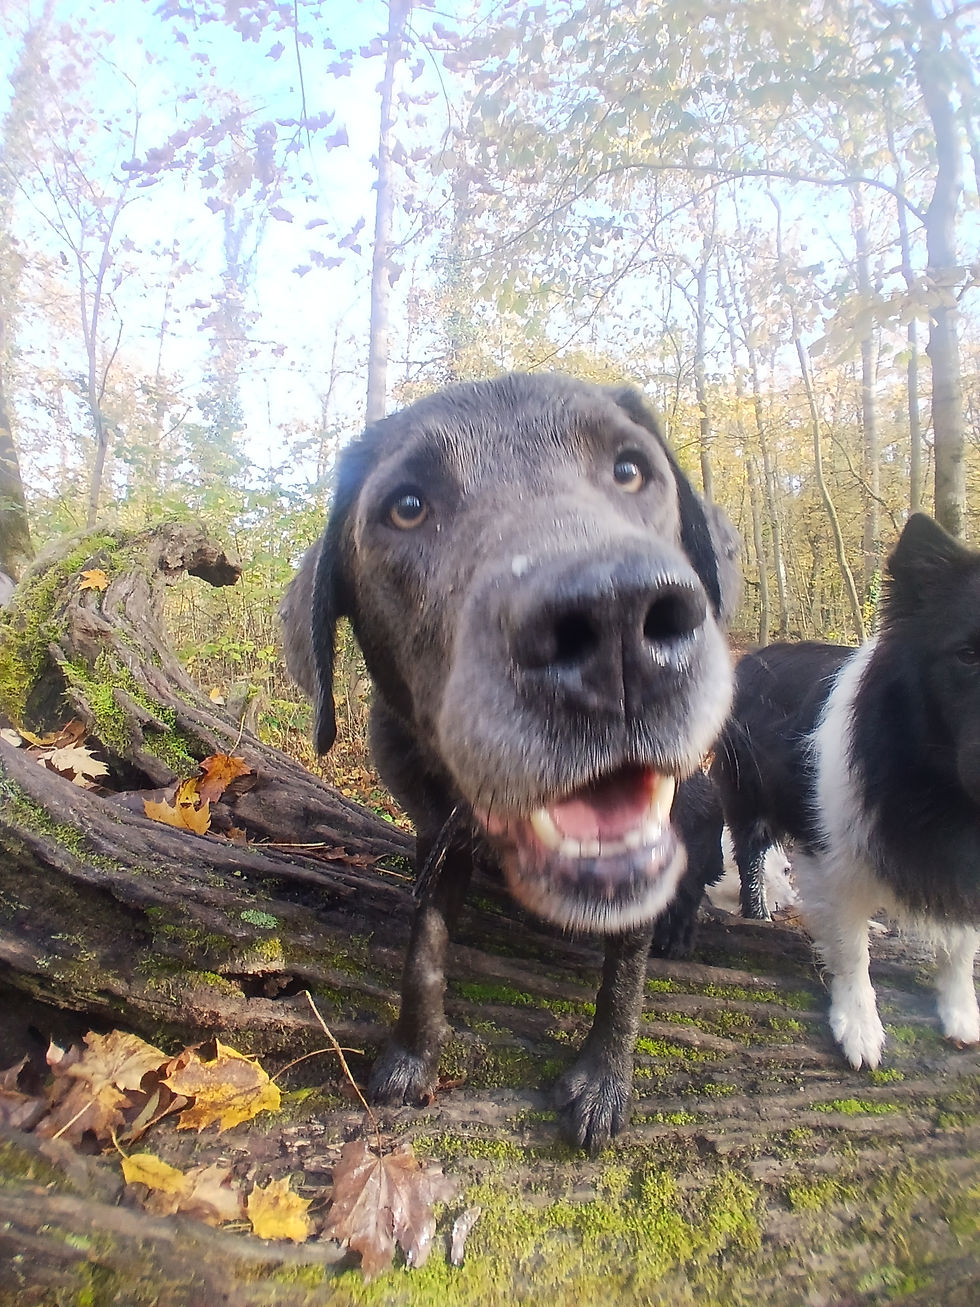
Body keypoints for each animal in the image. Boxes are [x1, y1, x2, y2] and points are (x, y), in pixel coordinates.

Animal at [283, 372, 740, 1152]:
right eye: (406, 506)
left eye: (629, 469)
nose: (614, 619)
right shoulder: (434, 836)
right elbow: (424, 953)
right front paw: (411, 1056)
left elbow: (627, 968)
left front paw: (603, 1079)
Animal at [713, 513, 980, 1069]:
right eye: (967, 655)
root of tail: (752, 657)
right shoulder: (831, 853)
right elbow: (850, 947)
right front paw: (860, 1031)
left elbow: (961, 940)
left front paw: (963, 1016)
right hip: (747, 795)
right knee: (750, 854)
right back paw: (759, 915)